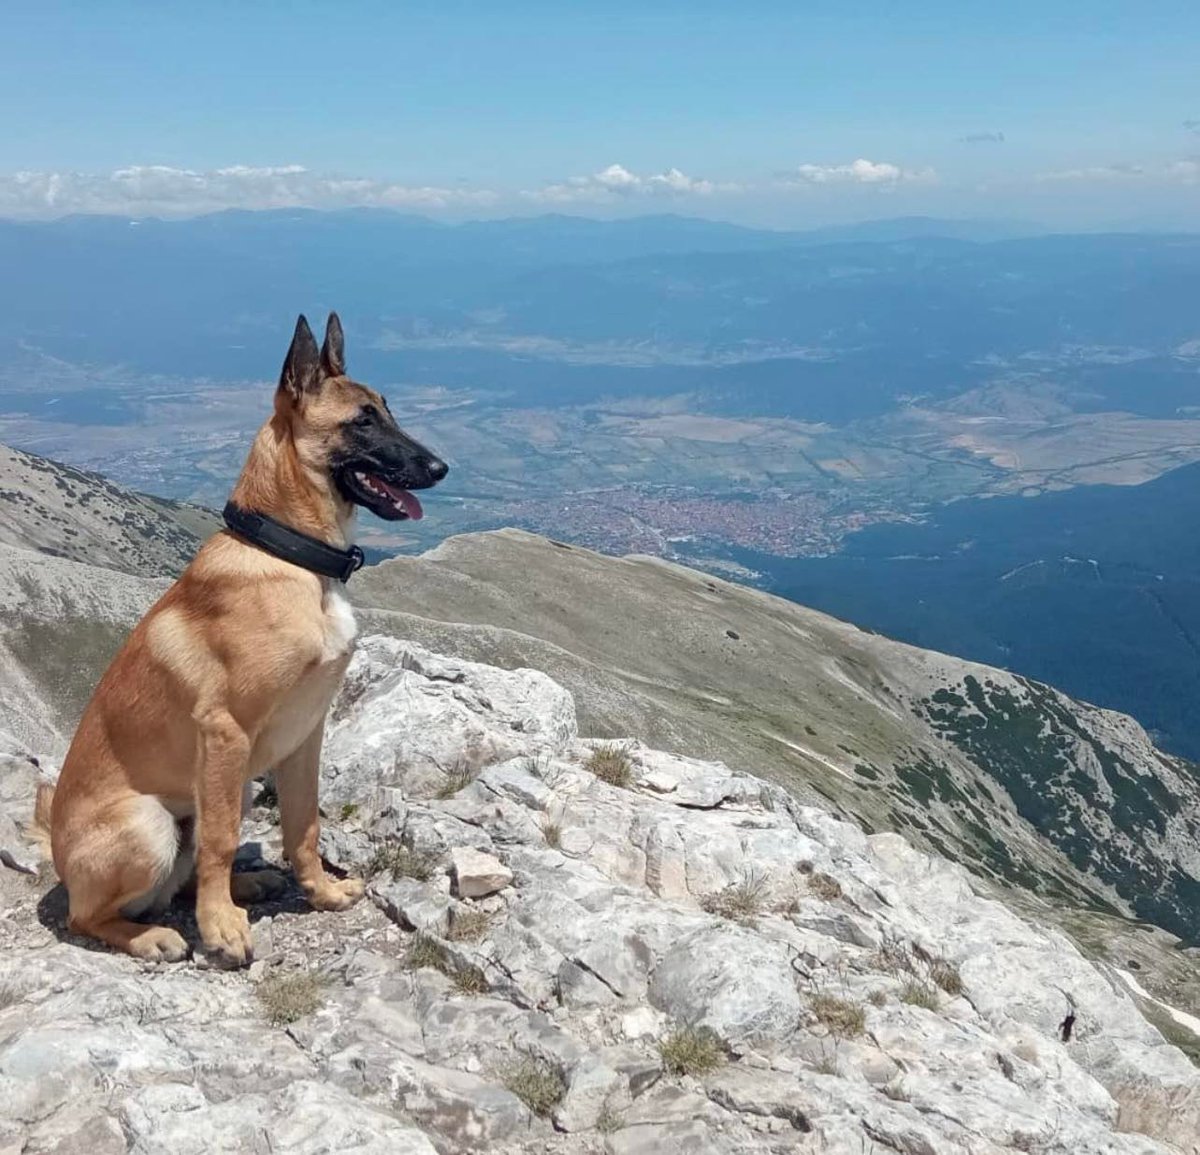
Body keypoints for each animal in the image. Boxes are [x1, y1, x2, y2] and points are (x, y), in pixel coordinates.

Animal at [29, 312, 451, 965]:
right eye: (362, 420)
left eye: (389, 410)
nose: (439, 469)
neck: (289, 556)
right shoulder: (224, 731)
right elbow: (222, 838)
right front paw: (221, 927)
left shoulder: (305, 736)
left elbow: (303, 824)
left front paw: (320, 891)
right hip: (151, 823)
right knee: (92, 914)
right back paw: (156, 934)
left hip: (238, 785)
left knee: (176, 880)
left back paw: (245, 887)